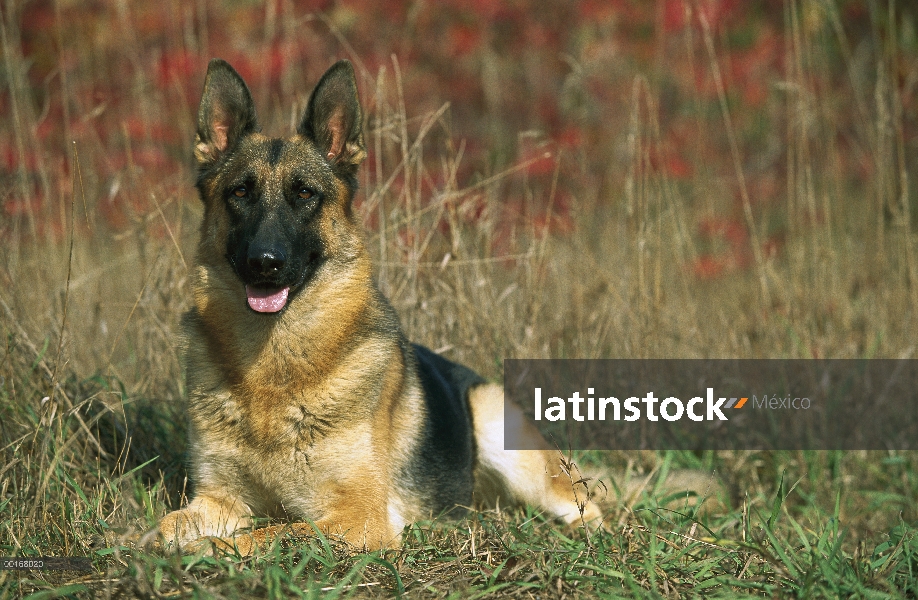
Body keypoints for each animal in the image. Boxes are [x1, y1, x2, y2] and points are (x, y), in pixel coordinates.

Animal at [158, 59, 604, 552]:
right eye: (239, 193)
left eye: (305, 194)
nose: (265, 263)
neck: (273, 366)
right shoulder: (219, 499)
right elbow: (167, 526)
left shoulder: (359, 517)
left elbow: (272, 534)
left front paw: (207, 550)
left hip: (503, 434)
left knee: (585, 507)